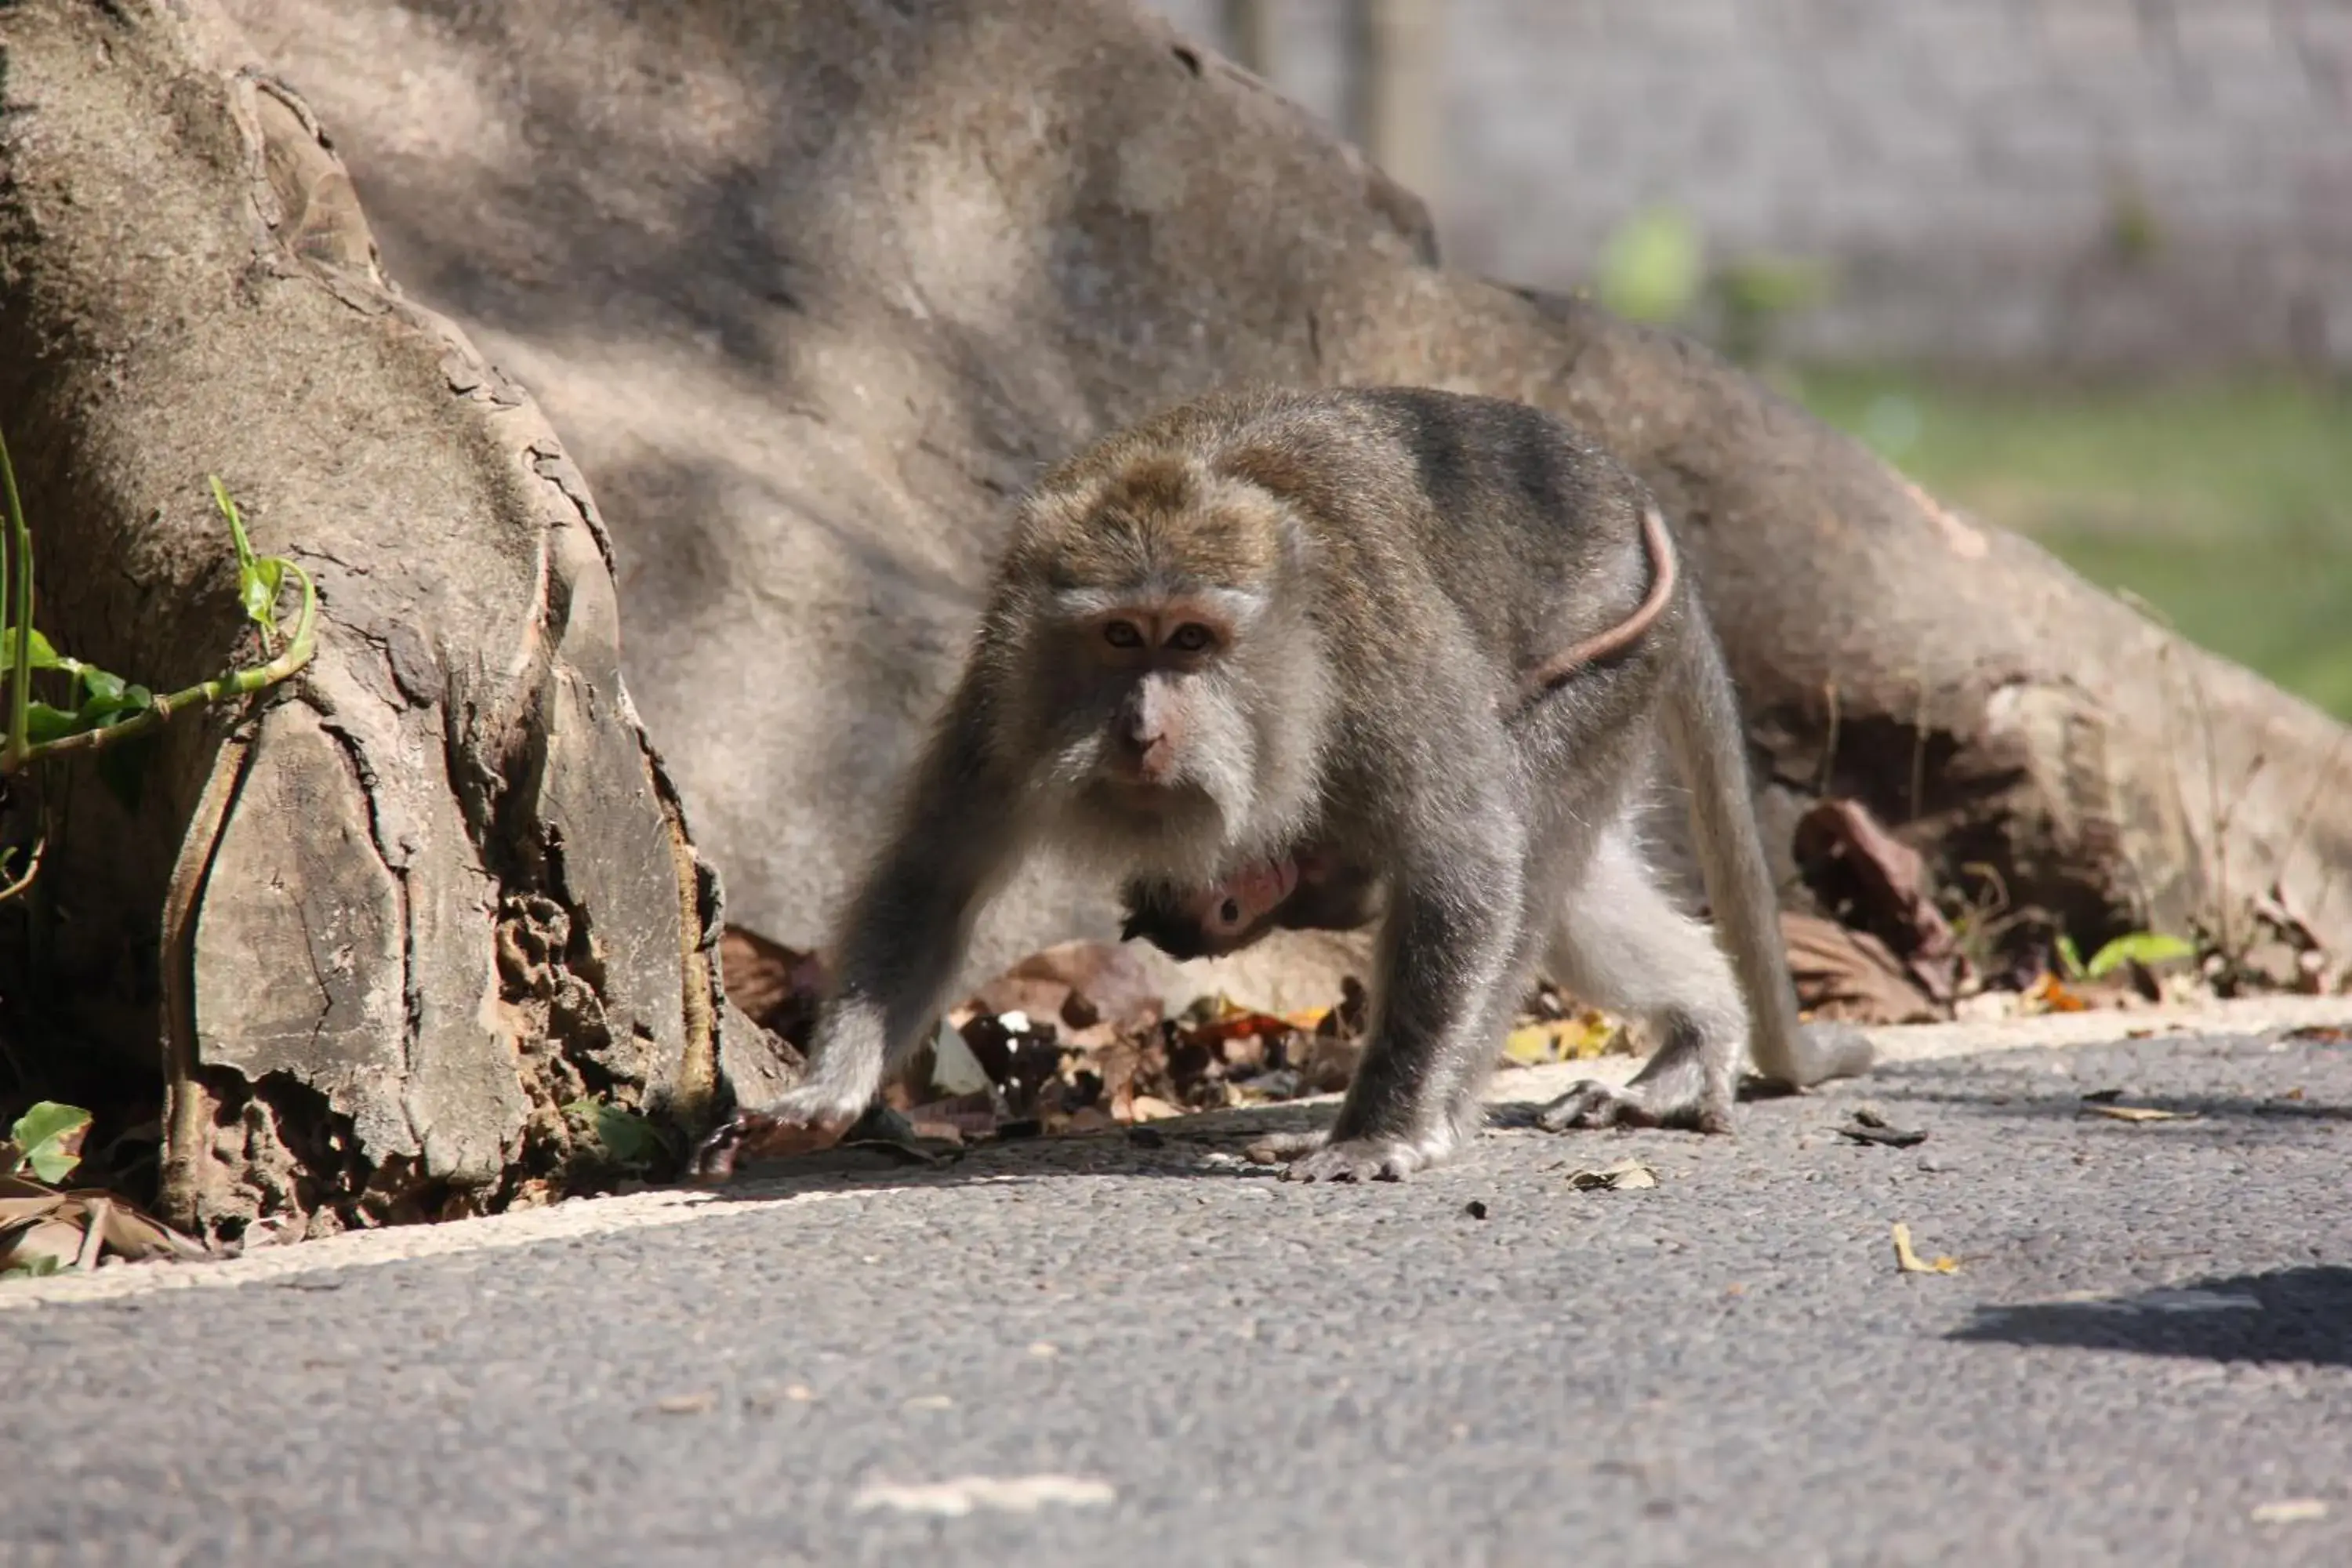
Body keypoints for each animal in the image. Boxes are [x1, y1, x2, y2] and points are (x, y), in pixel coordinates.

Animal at [687, 385, 1872, 1185]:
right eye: (1119, 638)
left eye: (1192, 640)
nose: (1143, 728)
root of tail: (1626, 493)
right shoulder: (1004, 695)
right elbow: (934, 875)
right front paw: (830, 1091)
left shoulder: (1377, 669)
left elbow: (1463, 866)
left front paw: (1382, 1130)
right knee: (1571, 899)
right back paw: (1699, 1032)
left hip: (1608, 651)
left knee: (1526, 858)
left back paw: (1469, 1106)